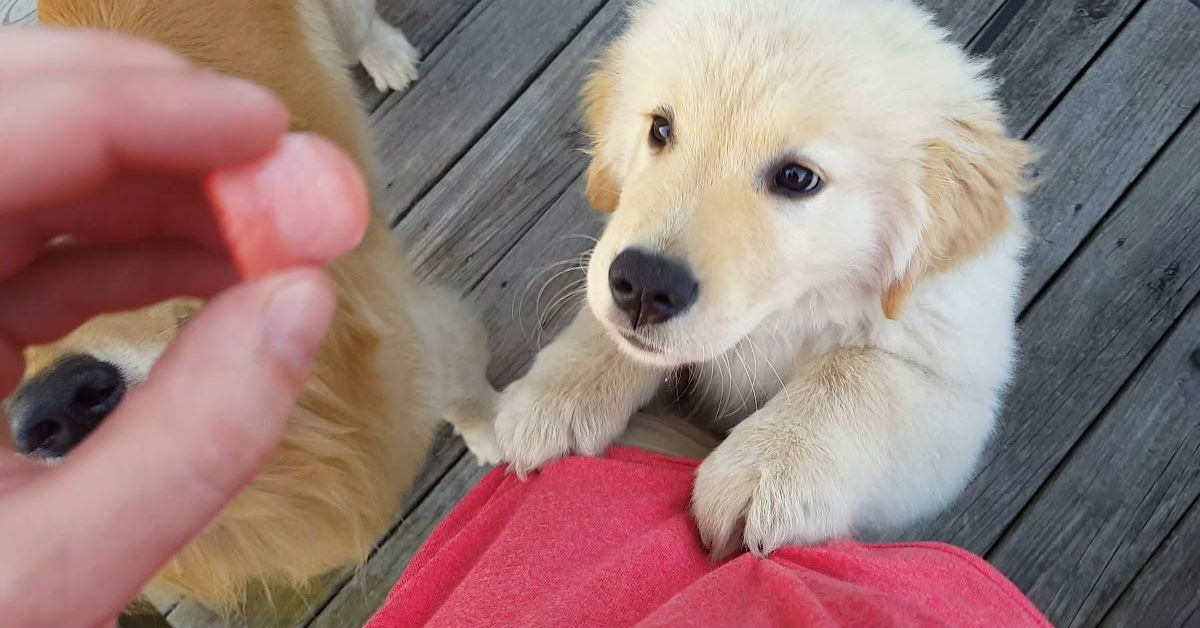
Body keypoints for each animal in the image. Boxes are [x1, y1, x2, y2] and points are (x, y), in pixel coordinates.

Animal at [496, 0, 1032, 559]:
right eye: (661, 130)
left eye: (797, 178)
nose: (643, 285)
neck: (783, 317)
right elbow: (610, 325)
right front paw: (559, 395)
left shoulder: (955, 384)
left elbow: (860, 373)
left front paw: (771, 468)